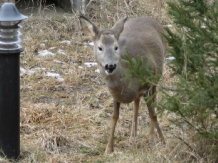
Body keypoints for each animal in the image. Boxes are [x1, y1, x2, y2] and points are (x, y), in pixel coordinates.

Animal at [79, 15, 166, 154]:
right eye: (100, 47)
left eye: (116, 47)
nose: (110, 66)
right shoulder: (115, 95)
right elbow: (115, 117)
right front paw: (109, 148)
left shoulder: (147, 83)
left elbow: (152, 114)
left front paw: (163, 142)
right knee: (136, 102)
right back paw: (132, 136)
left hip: (156, 75)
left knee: (153, 102)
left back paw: (151, 137)